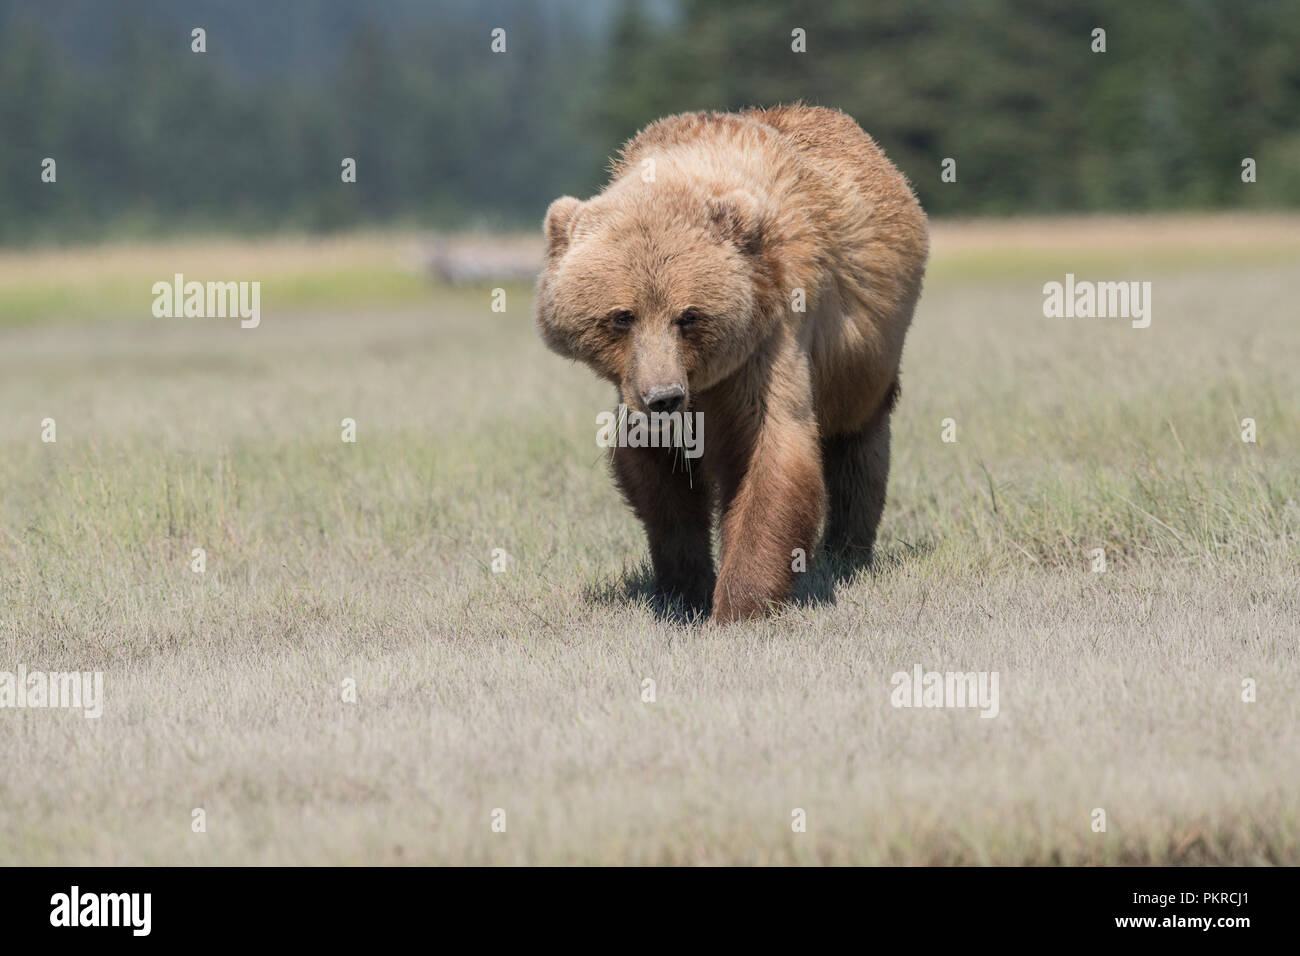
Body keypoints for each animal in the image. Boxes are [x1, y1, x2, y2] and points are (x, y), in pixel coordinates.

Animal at [535, 104, 925, 624]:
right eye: (622, 316)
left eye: (688, 315)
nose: (664, 398)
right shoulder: (640, 384)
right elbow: (658, 473)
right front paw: (683, 589)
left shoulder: (771, 335)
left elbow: (773, 451)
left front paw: (739, 604)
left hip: (866, 353)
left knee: (858, 444)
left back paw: (846, 553)